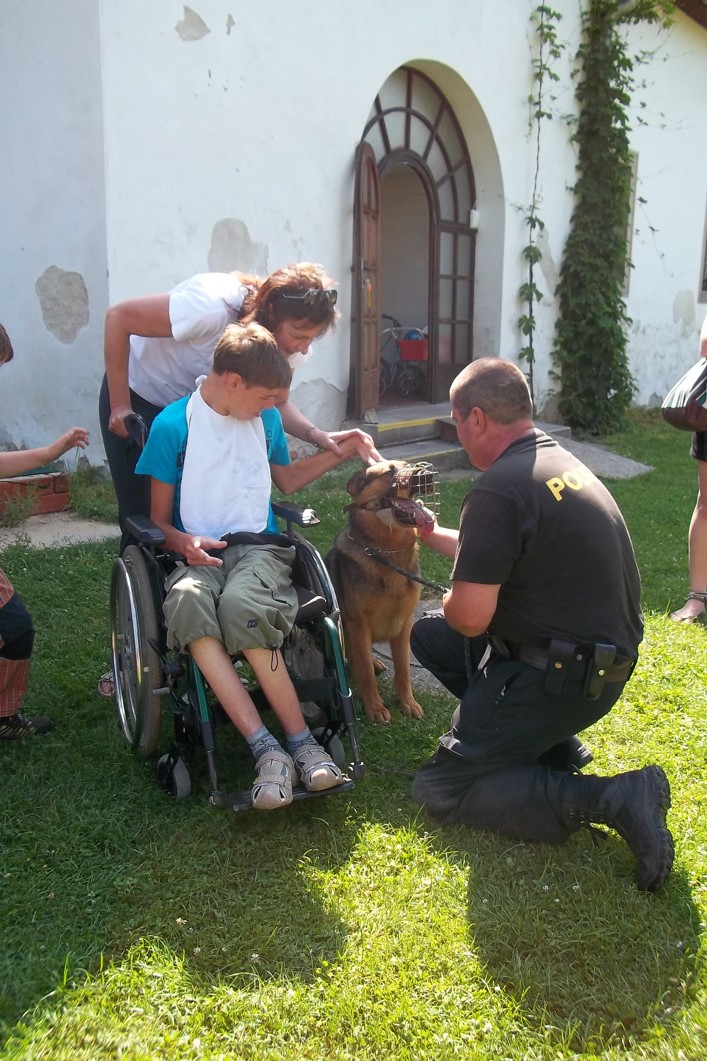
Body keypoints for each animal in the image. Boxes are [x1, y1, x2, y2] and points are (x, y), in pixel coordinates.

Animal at [325, 460, 437, 724]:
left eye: (409, 466)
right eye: (389, 471)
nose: (426, 474)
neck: (386, 550)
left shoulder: (405, 625)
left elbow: (403, 670)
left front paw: (407, 703)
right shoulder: (358, 625)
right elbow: (365, 674)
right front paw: (375, 708)